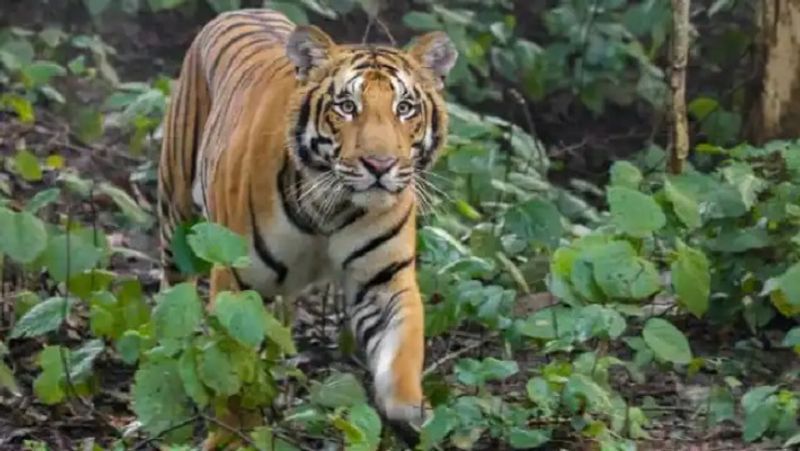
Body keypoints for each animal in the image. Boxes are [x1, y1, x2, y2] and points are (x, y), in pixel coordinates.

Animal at [156, 6, 456, 448]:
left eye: (405, 108)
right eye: (346, 106)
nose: (380, 165)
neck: (330, 208)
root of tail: (243, 9)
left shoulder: (384, 280)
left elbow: (402, 350)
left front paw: (411, 416)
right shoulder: (234, 277)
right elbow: (232, 362)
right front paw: (233, 436)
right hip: (177, 213)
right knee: (170, 287)